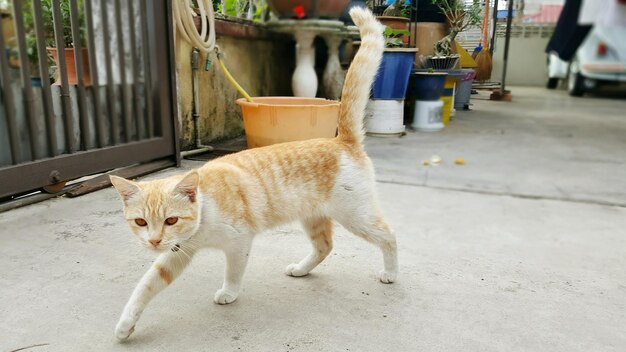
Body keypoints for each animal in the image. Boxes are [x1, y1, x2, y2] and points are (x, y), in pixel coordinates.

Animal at [109, 7, 398, 340]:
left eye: (171, 220)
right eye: (141, 222)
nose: (154, 242)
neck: (204, 214)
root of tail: (342, 140)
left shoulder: (239, 243)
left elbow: (234, 271)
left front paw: (229, 293)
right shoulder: (177, 253)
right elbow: (146, 284)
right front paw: (126, 323)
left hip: (356, 216)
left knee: (389, 235)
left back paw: (391, 272)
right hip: (314, 217)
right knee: (325, 246)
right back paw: (301, 269)